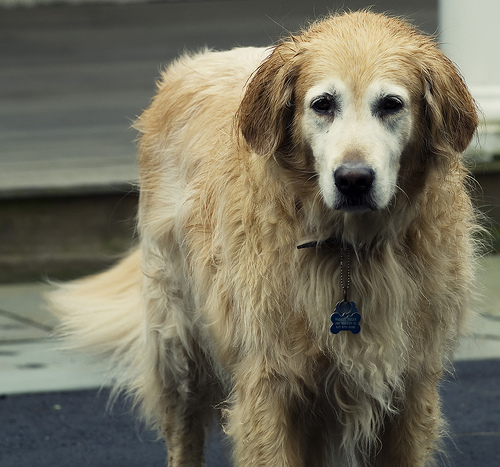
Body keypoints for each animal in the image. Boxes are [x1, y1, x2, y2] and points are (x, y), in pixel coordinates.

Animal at [47, 11, 480, 467]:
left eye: (392, 104)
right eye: (323, 104)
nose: (353, 180)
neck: (349, 250)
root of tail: (193, 63)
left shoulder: (411, 386)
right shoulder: (269, 384)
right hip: (179, 344)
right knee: (184, 432)